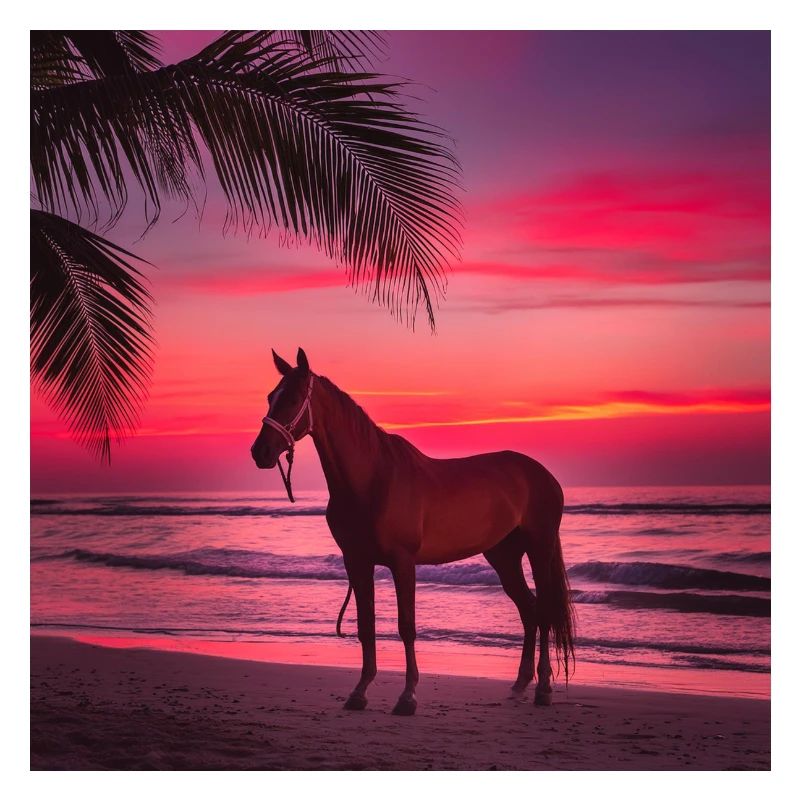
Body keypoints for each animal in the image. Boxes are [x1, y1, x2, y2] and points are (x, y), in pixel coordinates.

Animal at [251, 348, 575, 715]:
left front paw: (407, 697)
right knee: (529, 610)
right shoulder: (356, 562)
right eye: (270, 397)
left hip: (539, 548)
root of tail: (542, 474)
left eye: (292, 398)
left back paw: (544, 689)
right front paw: (359, 692)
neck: (372, 480)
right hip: (504, 556)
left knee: (544, 610)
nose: (260, 452)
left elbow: (406, 626)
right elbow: (366, 625)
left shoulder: (403, 562)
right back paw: (519, 685)